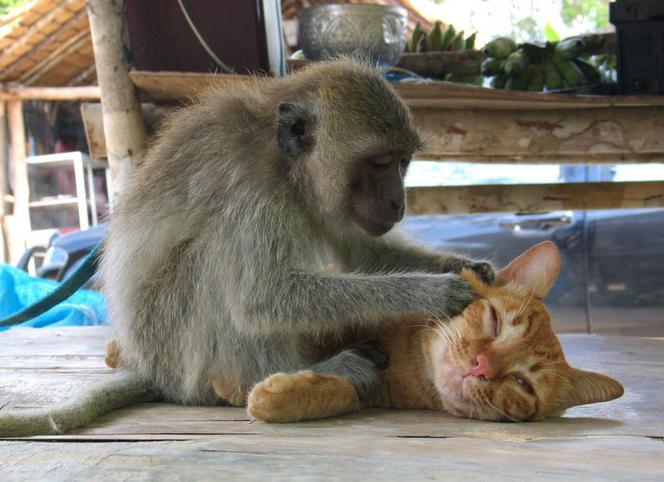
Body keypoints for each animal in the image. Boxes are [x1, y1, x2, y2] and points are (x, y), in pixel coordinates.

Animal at [0, 57, 492, 436]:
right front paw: (428, 293)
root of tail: (154, 371)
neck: (287, 167)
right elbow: (263, 298)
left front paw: (464, 264)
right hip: (177, 352)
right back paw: (287, 375)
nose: (398, 201)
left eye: (402, 162)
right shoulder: (251, 191)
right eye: (381, 162)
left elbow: (364, 253)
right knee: (214, 259)